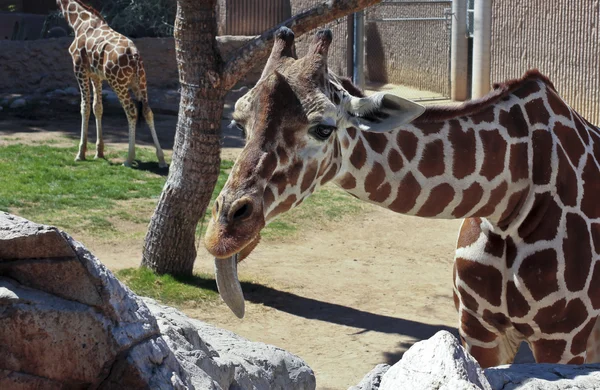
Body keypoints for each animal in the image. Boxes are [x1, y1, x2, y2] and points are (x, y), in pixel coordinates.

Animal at [55, 0, 166, 167]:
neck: (78, 22)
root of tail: (135, 56)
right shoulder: (96, 76)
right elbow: (98, 107)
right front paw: (99, 152)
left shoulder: (80, 69)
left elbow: (85, 107)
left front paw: (80, 153)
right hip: (140, 82)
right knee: (148, 111)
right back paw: (161, 159)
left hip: (118, 83)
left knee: (131, 111)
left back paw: (129, 158)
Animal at [204, 27, 600, 368]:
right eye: (239, 123)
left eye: (323, 128)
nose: (222, 233)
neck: (507, 202)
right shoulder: (478, 328)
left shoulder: (564, 337)